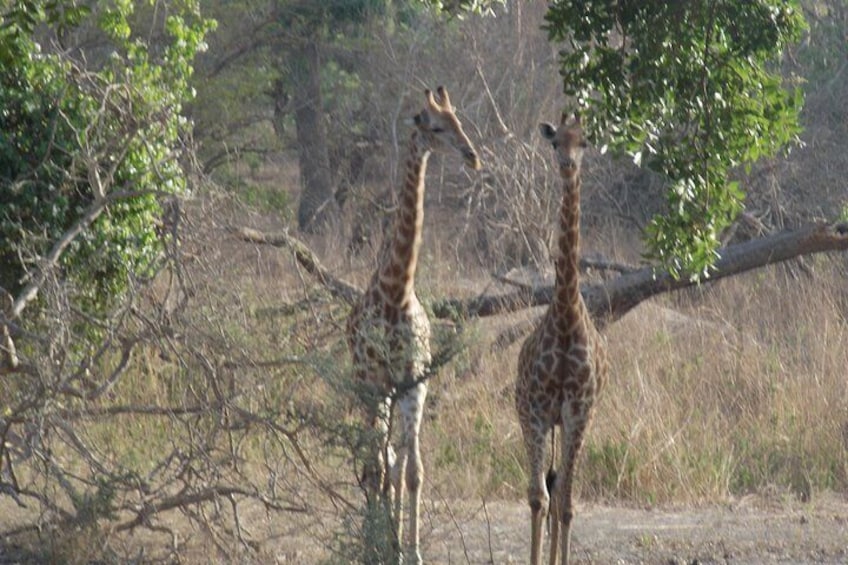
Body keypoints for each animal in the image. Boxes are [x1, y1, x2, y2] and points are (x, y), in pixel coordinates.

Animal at [346, 86, 480, 560]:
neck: (396, 291)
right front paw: (382, 543)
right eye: (434, 126)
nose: (473, 157)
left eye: (460, 121)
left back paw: (390, 538)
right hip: (366, 386)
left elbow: (414, 470)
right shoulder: (378, 381)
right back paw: (374, 537)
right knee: (374, 459)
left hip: (393, 392)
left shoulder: (414, 381)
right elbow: (381, 464)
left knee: (392, 459)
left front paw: (413, 551)